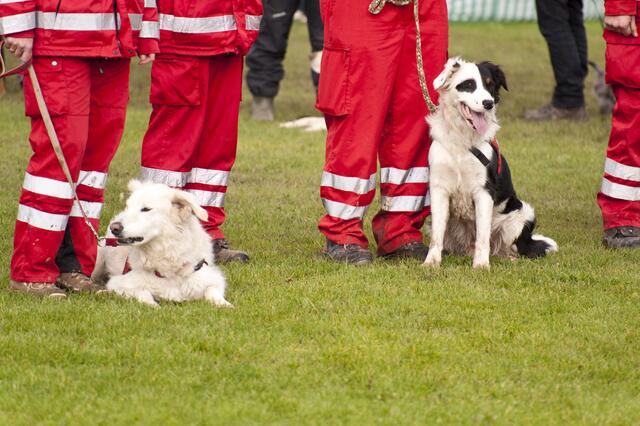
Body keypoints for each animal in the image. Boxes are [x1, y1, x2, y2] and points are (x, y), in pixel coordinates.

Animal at [90, 180, 230, 306]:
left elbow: (212, 291)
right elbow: (142, 292)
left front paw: (224, 304)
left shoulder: (211, 278)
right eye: (128, 207)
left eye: (146, 209)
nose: (114, 228)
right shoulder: (118, 282)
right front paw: (152, 304)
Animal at [424, 57, 556, 268]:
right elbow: (437, 235)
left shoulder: (483, 191)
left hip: (522, 214)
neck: (463, 141)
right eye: (468, 85)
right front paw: (431, 262)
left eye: (490, 85)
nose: (488, 103)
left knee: (511, 247)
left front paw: (480, 265)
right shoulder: (439, 189)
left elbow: (483, 236)